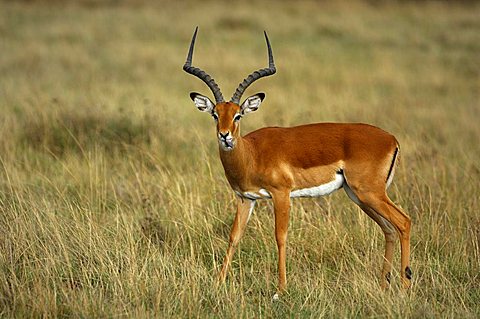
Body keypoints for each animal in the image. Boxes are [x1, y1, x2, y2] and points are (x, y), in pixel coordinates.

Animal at [182, 26, 410, 298]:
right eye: (215, 114)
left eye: (238, 115)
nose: (225, 136)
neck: (252, 153)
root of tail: (392, 139)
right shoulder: (245, 198)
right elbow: (234, 236)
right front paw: (218, 283)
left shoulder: (281, 194)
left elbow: (280, 236)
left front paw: (280, 290)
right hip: (359, 196)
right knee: (389, 228)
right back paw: (384, 285)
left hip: (369, 192)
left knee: (403, 221)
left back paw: (405, 285)